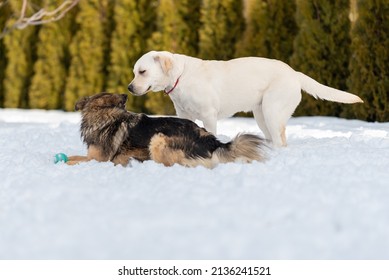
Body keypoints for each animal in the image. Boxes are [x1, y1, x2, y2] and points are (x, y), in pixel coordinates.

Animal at [67, 92, 266, 168]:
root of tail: (212, 140)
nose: (125, 94)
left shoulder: (99, 159)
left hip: (158, 138)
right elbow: (73, 156)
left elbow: (74, 159)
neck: (104, 113)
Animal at [127, 50, 360, 147]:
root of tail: (294, 73)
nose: (129, 87)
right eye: (134, 71)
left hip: (271, 111)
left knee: (280, 139)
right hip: (261, 116)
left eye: (143, 71)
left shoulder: (209, 116)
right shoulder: (184, 114)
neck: (180, 76)